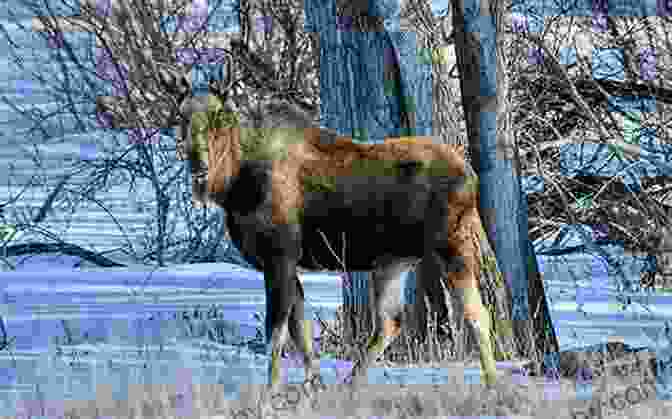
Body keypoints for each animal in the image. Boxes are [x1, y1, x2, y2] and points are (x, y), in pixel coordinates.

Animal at [177, 53, 498, 394]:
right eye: (181, 117)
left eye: (218, 116)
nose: (198, 164)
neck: (234, 186)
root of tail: (471, 177)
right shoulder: (287, 263)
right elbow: (300, 330)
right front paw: (313, 385)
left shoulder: (279, 256)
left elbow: (276, 333)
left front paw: (271, 391)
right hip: (393, 261)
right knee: (390, 322)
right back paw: (349, 383)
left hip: (452, 245)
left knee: (477, 313)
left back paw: (493, 384)